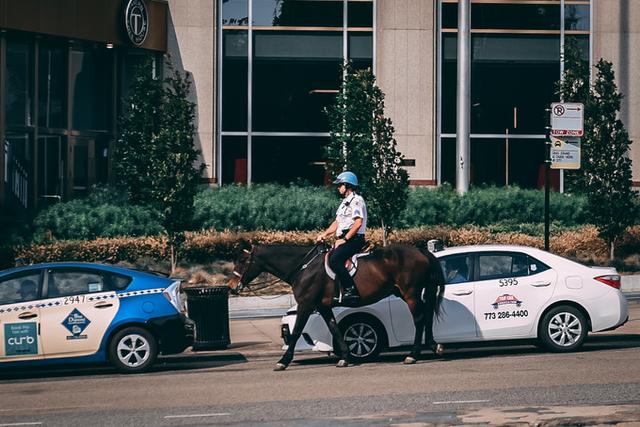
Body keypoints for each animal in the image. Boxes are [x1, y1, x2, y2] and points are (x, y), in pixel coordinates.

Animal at [227, 242, 446, 371]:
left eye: (243, 260)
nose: (230, 286)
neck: (303, 268)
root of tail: (421, 250)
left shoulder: (306, 305)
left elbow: (296, 332)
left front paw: (283, 361)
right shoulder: (323, 307)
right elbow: (334, 328)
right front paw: (345, 357)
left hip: (411, 293)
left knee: (419, 319)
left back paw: (413, 354)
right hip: (407, 292)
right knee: (427, 314)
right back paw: (433, 345)